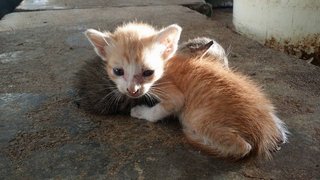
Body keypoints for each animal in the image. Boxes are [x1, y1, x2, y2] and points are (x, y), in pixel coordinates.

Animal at [84, 22, 288, 160]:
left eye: (148, 72)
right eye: (118, 71)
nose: (132, 90)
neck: (168, 64)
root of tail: (263, 133)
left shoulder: (173, 94)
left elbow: (159, 111)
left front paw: (140, 112)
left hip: (198, 119)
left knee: (244, 148)